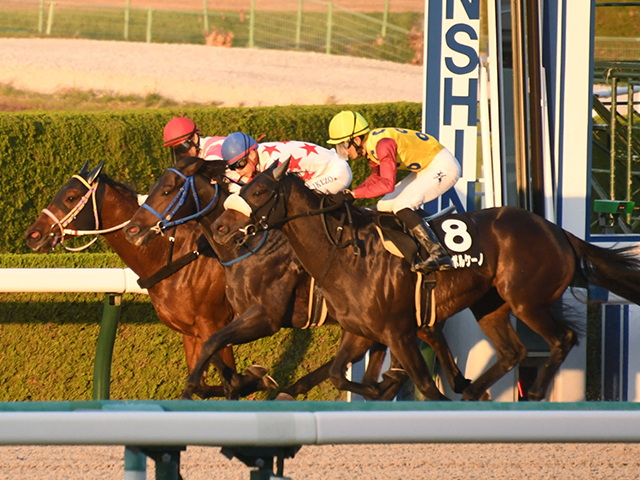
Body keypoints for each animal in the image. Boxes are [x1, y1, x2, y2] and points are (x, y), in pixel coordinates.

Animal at [24, 160, 276, 398]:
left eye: (70, 197)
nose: (32, 235)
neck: (173, 255)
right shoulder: (190, 333)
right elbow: (200, 385)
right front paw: (258, 378)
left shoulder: (215, 326)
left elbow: (231, 384)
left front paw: (260, 379)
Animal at [121, 158, 470, 402]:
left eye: (167, 190)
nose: (133, 230)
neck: (249, 246)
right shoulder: (217, 320)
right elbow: (215, 355)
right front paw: (244, 381)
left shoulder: (264, 317)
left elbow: (216, 349)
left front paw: (245, 381)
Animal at [212, 158, 640, 402]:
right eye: (241, 187)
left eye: (260, 190)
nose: (221, 226)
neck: (345, 254)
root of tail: (558, 232)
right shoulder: (362, 331)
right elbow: (337, 375)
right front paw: (378, 386)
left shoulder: (396, 331)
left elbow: (423, 385)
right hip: (490, 304)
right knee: (513, 352)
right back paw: (473, 391)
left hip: (527, 300)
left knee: (562, 339)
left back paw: (532, 392)